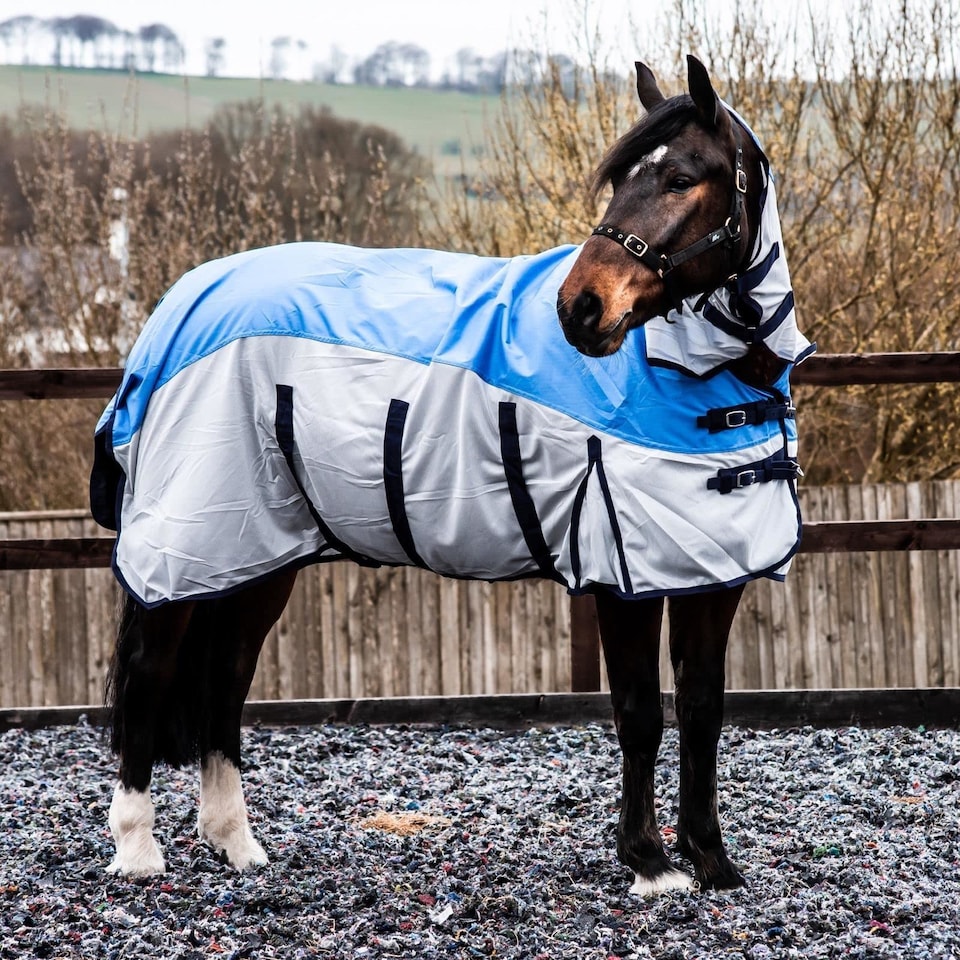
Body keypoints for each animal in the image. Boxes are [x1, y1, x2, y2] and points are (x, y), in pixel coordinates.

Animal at [91, 55, 809, 895]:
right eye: (622, 181)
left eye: (681, 178)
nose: (580, 308)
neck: (699, 379)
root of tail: (177, 307)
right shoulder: (619, 576)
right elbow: (639, 712)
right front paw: (650, 863)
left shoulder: (710, 572)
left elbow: (701, 710)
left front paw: (711, 859)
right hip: (186, 547)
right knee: (149, 675)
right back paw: (138, 850)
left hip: (252, 554)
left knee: (225, 681)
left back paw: (236, 843)